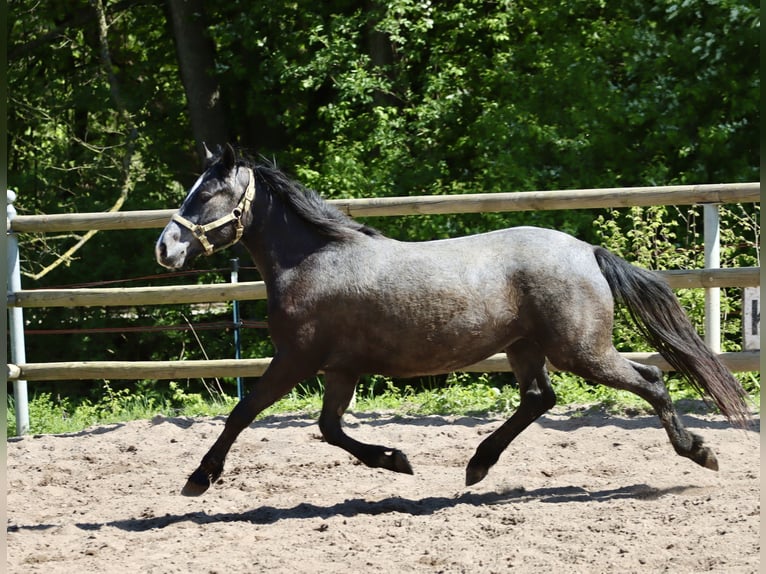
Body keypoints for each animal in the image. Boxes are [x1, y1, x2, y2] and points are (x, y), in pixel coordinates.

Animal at [154, 145, 752, 500]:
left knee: (649, 382)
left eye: (209, 193)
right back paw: (477, 466)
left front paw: (198, 478)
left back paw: (700, 452)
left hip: (580, 351)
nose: (166, 247)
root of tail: (587, 251)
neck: (314, 261)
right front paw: (396, 460)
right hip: (526, 347)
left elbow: (242, 413)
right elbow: (328, 428)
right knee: (540, 398)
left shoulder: (296, 359)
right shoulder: (340, 369)